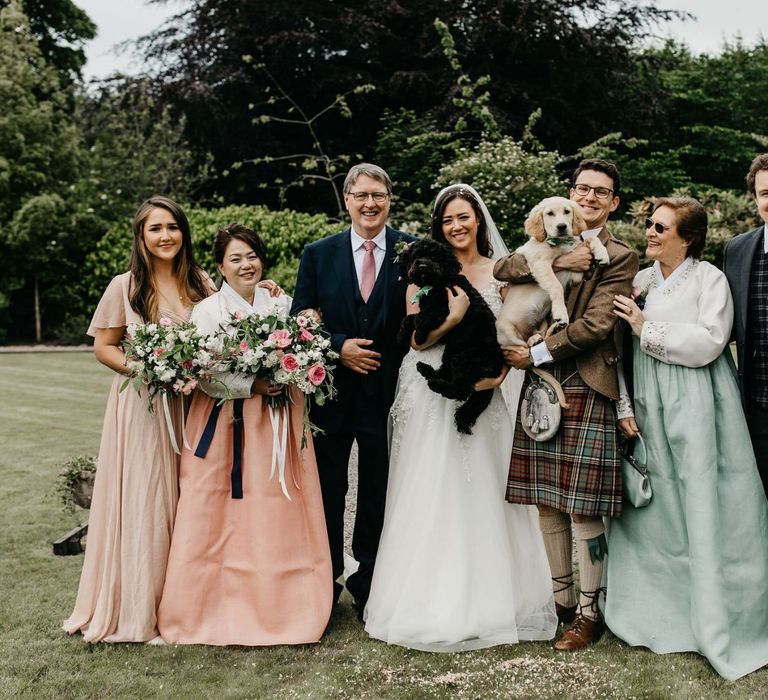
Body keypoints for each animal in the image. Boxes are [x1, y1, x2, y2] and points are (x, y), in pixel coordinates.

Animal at [400, 238, 508, 434]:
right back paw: (426, 370)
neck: (437, 284)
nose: (422, 265)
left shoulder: (443, 310)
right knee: (445, 372)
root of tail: (496, 365)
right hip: (452, 351)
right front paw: (402, 334)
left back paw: (436, 385)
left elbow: (421, 317)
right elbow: (409, 317)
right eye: (417, 256)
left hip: (465, 357)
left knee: (459, 389)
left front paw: (419, 335)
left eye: (434, 257)